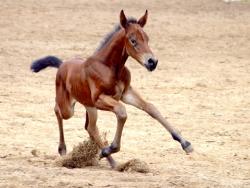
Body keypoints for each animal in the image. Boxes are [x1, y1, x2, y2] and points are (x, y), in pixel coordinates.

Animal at [30, 9, 192, 167]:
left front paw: (185, 143)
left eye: (147, 38)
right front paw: (111, 148)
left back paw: (111, 161)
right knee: (58, 110)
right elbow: (122, 112)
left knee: (90, 128)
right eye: (133, 40)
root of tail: (62, 65)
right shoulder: (100, 99)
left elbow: (151, 108)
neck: (110, 67)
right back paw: (64, 149)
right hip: (69, 108)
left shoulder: (125, 93)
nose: (152, 62)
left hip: (89, 106)